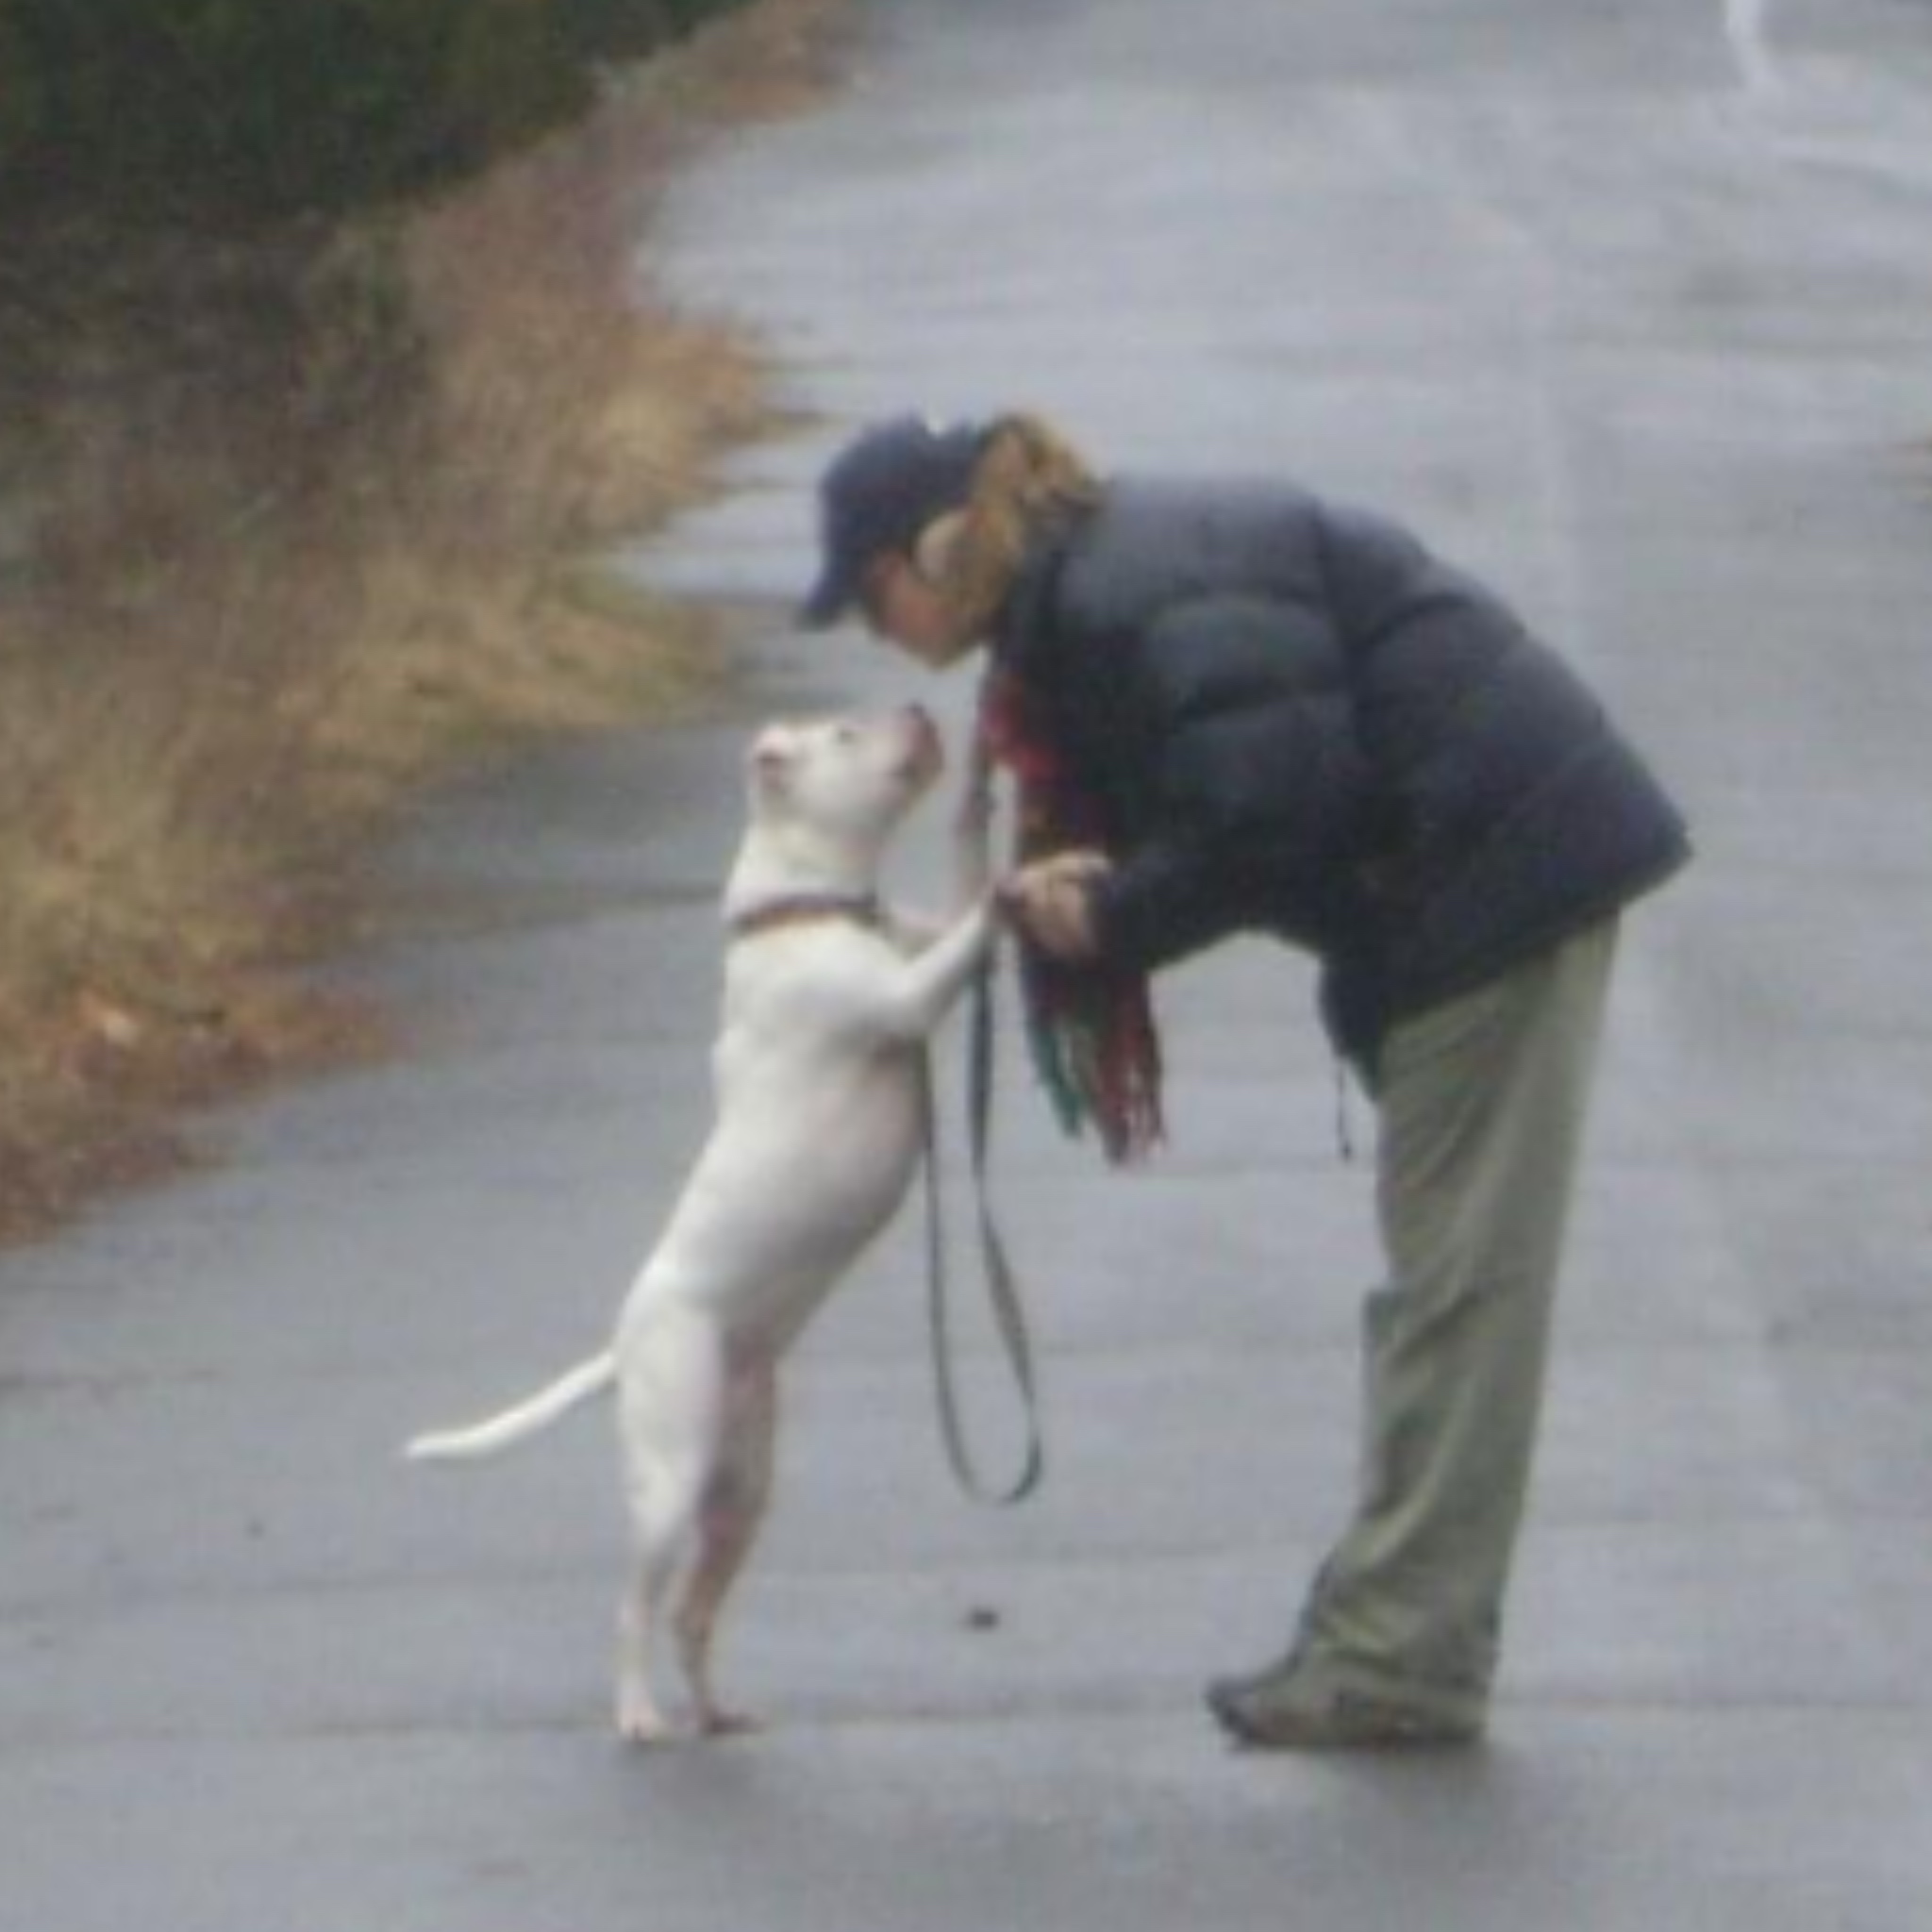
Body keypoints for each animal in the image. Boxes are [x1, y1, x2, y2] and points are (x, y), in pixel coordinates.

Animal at [413, 703, 1004, 1746]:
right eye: (845, 734)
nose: (919, 711)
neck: (809, 903)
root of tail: (624, 1346)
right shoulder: (901, 999)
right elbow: (962, 938)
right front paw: (1026, 883)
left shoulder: (910, 946)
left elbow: (960, 881)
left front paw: (982, 804)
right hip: (670, 1479)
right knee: (634, 1608)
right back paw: (639, 1713)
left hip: (743, 1490)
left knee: (693, 1611)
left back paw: (717, 1708)